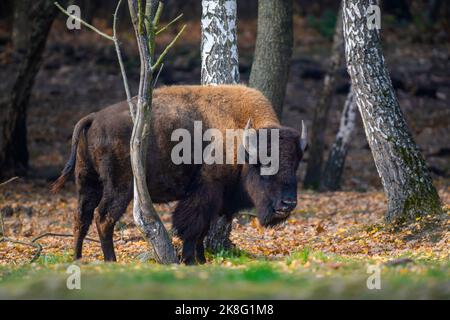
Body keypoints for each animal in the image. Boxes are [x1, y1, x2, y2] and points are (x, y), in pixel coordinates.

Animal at [51, 84, 306, 264]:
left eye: (295, 164)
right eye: (263, 165)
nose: (288, 204)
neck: (241, 136)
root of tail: (94, 117)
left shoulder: (214, 199)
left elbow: (203, 228)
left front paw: (201, 260)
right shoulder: (204, 192)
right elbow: (192, 227)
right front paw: (190, 260)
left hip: (87, 181)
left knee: (81, 217)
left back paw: (77, 258)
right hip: (119, 187)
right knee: (103, 217)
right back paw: (110, 261)